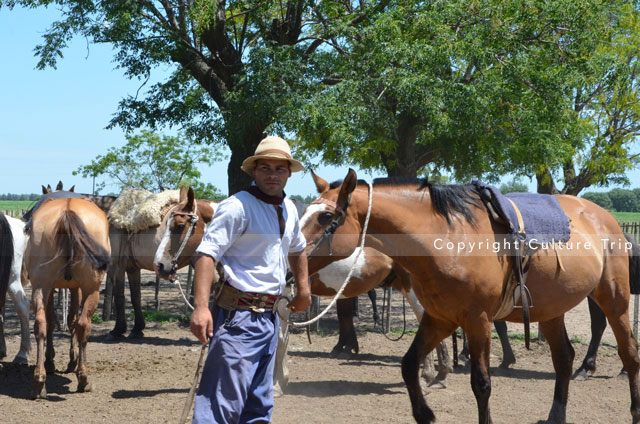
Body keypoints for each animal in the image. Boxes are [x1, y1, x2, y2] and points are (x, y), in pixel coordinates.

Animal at [22, 197, 110, 400]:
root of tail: (67, 210)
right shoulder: (75, 288)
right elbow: (70, 321)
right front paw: (70, 360)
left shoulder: (55, 288)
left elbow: (59, 321)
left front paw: (55, 361)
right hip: (89, 289)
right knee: (83, 325)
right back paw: (82, 378)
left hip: (41, 286)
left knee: (41, 324)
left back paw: (39, 382)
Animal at [302, 168, 640, 424]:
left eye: (326, 217)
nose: (293, 258)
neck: (447, 240)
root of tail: (605, 218)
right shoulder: (439, 318)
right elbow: (409, 365)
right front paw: (426, 413)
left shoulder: (478, 320)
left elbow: (481, 384)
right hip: (551, 311)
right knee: (564, 359)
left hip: (614, 300)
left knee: (629, 353)